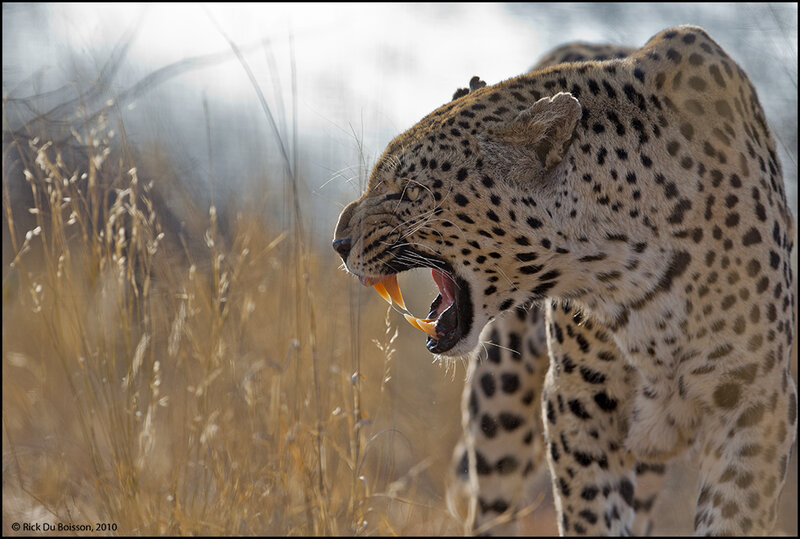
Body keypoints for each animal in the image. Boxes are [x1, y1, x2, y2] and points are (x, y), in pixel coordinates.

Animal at [332, 25, 797, 535]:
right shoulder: (579, 405)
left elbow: (734, 514)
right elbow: (591, 512)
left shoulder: (756, 408)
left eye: (410, 192)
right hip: (501, 398)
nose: (339, 241)